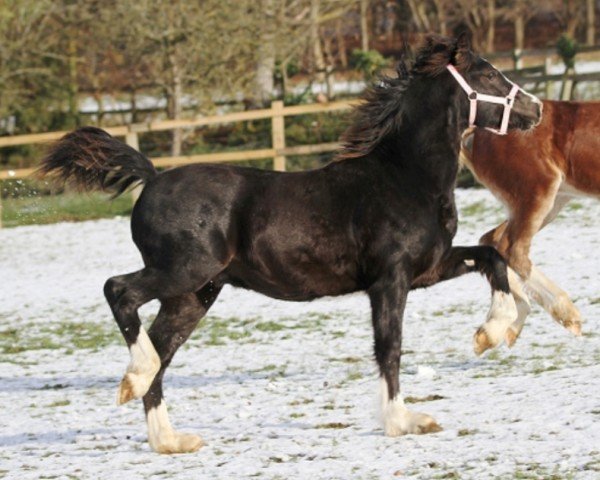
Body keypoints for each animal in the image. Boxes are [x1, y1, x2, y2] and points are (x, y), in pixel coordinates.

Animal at [39, 34, 540, 454]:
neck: (403, 176)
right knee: (119, 292)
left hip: (193, 295)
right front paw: (404, 421)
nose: (535, 109)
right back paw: (135, 378)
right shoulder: (390, 280)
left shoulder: (428, 268)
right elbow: (390, 347)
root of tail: (153, 177)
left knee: (161, 355)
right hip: (183, 272)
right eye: (489, 75)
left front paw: (492, 332)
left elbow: (492, 257)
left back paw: (169, 439)